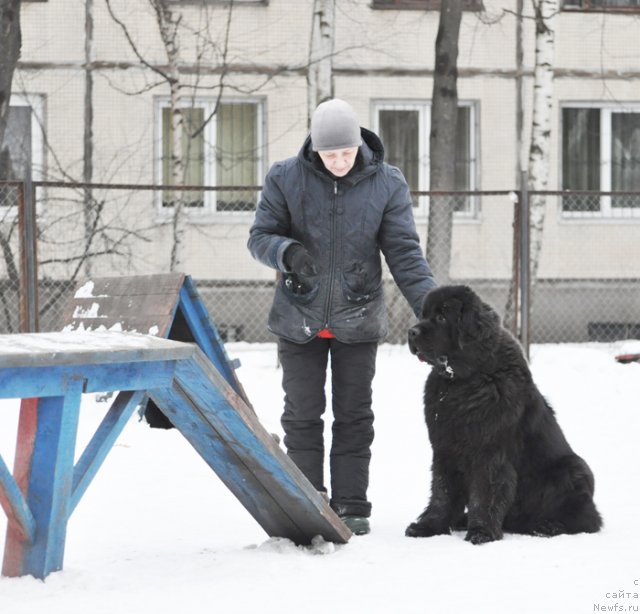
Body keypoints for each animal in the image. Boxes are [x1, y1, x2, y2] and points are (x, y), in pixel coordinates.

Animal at [408, 286, 604, 548]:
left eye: (441, 317)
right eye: (424, 315)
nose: (411, 332)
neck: (464, 381)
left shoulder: (489, 452)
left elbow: (484, 494)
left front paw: (481, 532)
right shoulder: (445, 448)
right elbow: (442, 492)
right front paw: (428, 526)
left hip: (575, 469)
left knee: (588, 520)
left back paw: (548, 525)